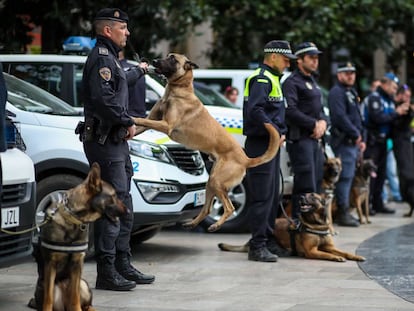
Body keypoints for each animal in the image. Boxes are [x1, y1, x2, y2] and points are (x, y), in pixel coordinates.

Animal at [133, 53, 282, 233]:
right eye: (167, 56)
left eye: (173, 59)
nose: (153, 61)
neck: (179, 90)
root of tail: (246, 159)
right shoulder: (152, 120)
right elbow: (141, 123)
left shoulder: (166, 125)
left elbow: (141, 119)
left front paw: (131, 117)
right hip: (211, 182)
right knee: (207, 208)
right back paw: (192, 223)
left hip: (217, 181)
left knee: (229, 207)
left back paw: (216, 225)